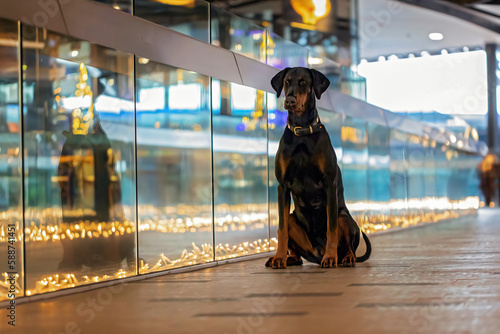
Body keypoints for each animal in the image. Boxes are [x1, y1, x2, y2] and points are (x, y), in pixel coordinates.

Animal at [266, 67, 372, 268]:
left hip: (345, 218)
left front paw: (330, 258)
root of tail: (317, 251)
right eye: (287, 82)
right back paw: (289, 258)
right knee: (296, 246)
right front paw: (279, 257)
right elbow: (281, 229)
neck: (301, 133)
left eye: (303, 82)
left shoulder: (329, 184)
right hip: (294, 220)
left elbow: (331, 229)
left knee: (348, 245)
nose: (290, 101)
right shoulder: (282, 186)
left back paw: (344, 258)